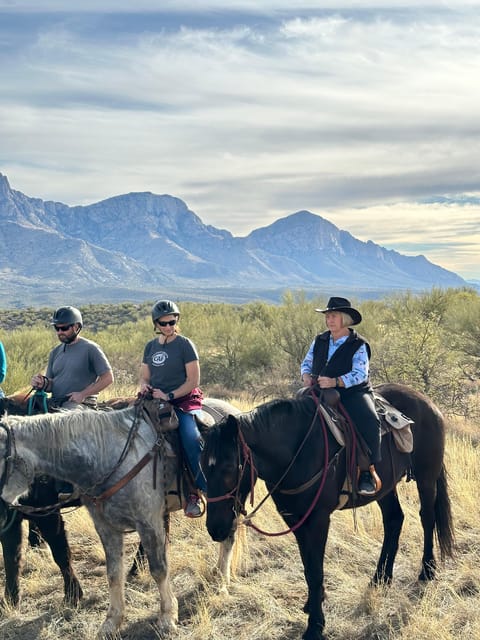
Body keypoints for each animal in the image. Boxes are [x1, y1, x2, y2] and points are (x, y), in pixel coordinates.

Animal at [0, 398, 240, 636]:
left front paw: (167, 617)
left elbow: (159, 569)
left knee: (228, 535)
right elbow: (114, 573)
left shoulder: (148, 523)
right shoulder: (106, 528)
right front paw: (111, 622)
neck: (107, 456)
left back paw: (221, 580)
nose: (2, 509)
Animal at [202, 384, 454, 640]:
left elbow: (316, 571)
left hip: (426, 477)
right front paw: (312, 604)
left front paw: (315, 625)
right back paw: (380, 579)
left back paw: (427, 570)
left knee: (427, 518)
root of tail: (426, 402)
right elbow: (308, 566)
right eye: (202, 466)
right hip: (385, 487)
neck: (298, 451)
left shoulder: (319, 519)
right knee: (394, 520)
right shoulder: (297, 519)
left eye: (229, 467)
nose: (215, 528)